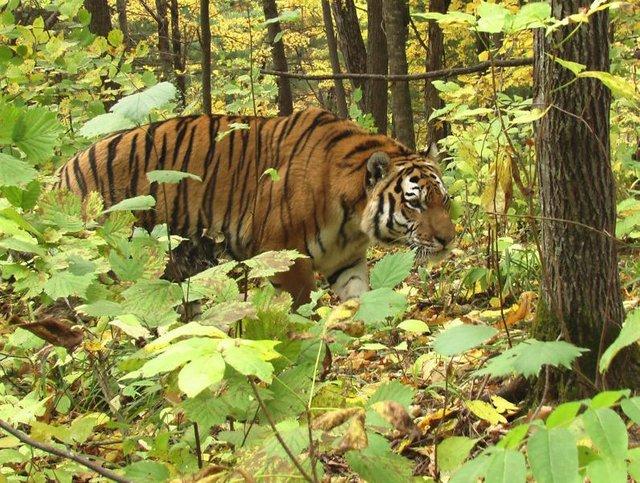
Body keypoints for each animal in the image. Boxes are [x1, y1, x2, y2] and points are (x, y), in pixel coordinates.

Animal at [56, 108, 456, 306]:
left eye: (444, 200)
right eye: (415, 203)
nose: (449, 240)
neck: (352, 219)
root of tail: (61, 172)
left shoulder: (347, 263)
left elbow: (358, 305)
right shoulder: (283, 257)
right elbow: (297, 311)